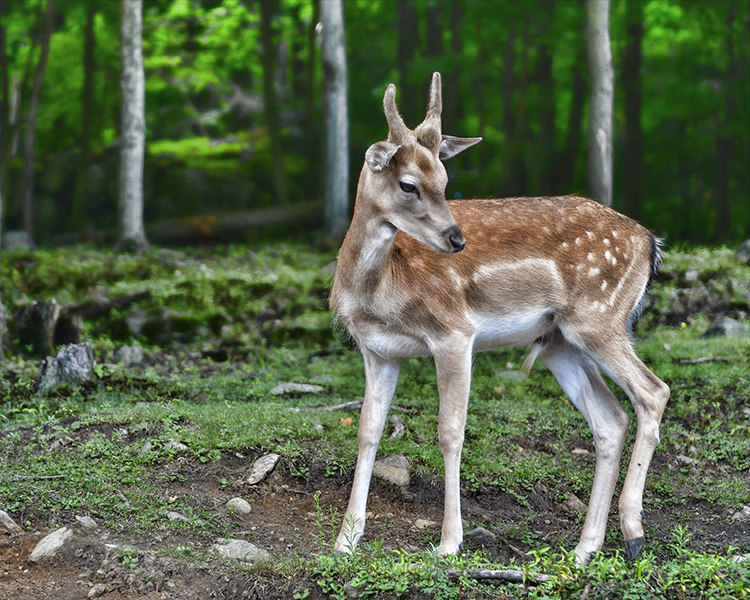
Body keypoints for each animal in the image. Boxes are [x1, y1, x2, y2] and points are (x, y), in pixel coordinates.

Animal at [332, 72, 672, 564]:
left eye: (445, 180)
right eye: (409, 184)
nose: (456, 239)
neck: (378, 292)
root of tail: (650, 241)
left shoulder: (454, 331)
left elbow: (450, 432)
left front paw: (448, 543)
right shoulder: (378, 351)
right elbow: (367, 431)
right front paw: (346, 540)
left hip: (599, 318)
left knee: (653, 392)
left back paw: (633, 532)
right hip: (559, 342)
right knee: (611, 419)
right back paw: (584, 548)